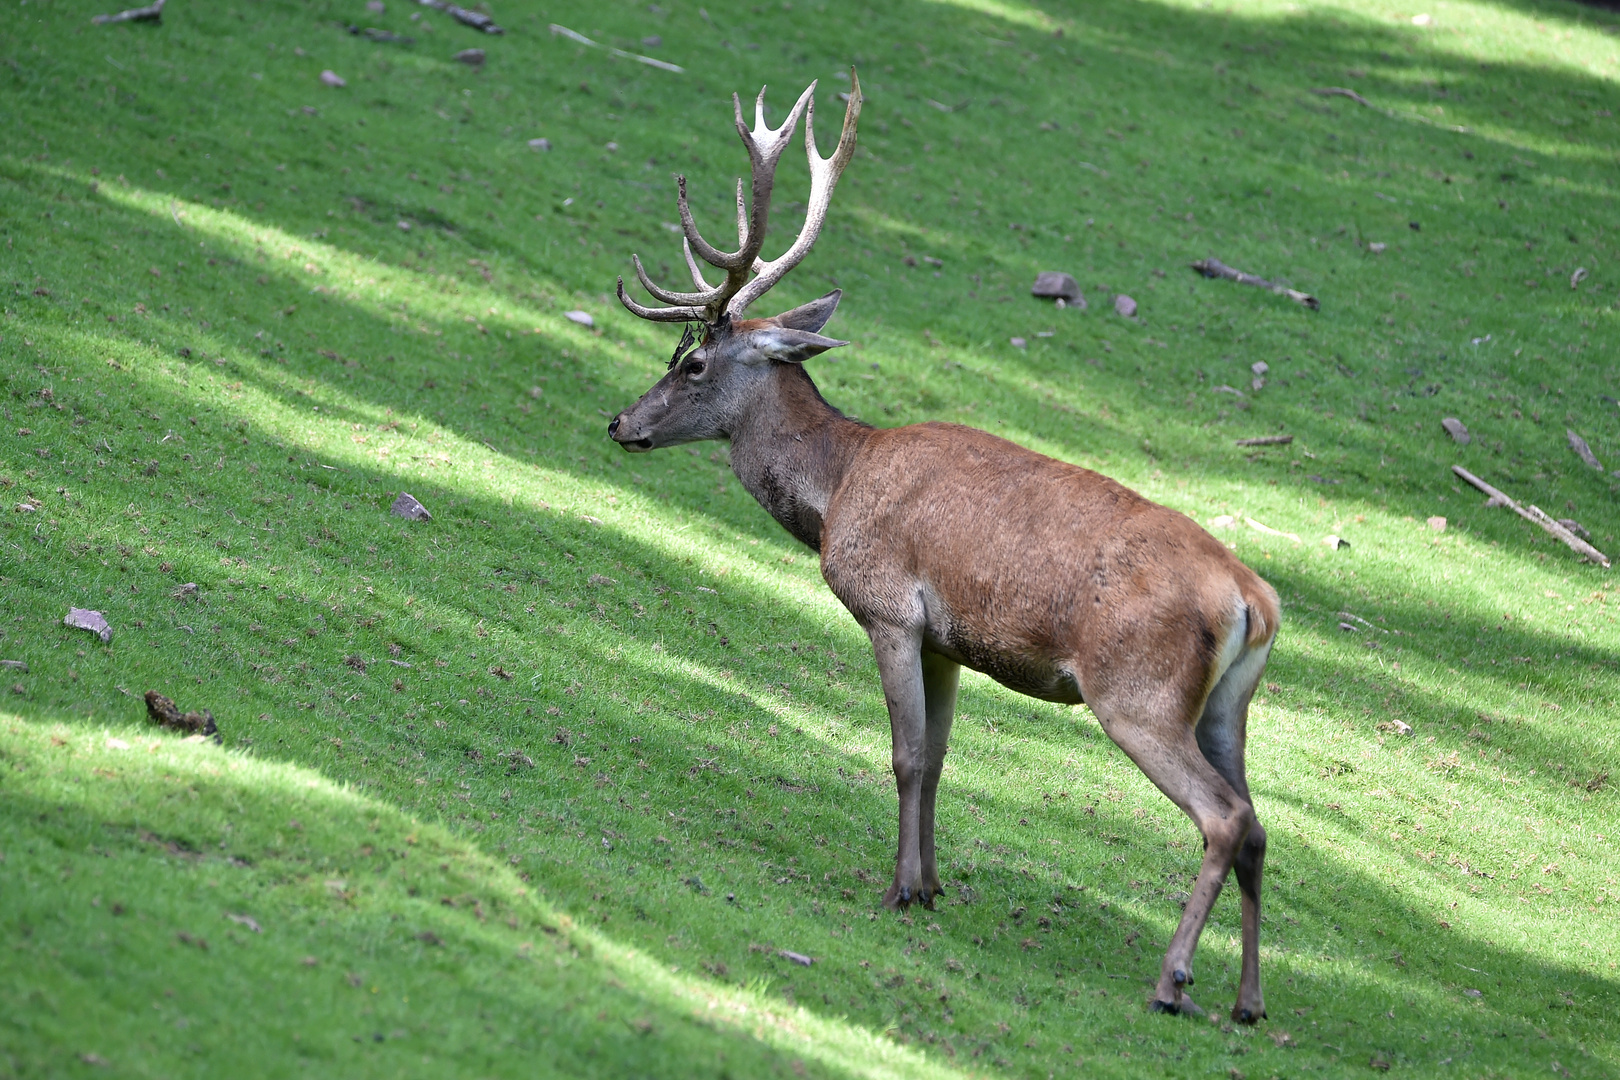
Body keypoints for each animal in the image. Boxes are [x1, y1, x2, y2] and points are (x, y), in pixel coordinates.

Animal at [605, 74, 1276, 1023]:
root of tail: (1255, 602)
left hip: (1138, 694)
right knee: (1257, 824)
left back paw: (1171, 980)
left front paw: (896, 888)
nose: (621, 422)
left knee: (1225, 819)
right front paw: (929, 885)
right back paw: (1248, 1002)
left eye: (693, 364)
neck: (837, 487)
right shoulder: (949, 642)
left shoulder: (888, 608)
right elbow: (942, 759)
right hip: (1227, 709)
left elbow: (906, 754)